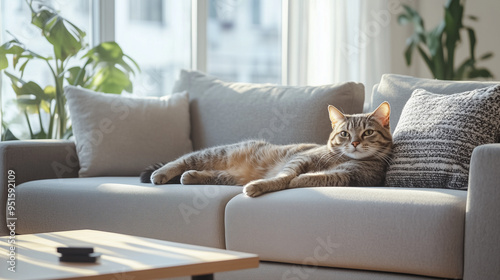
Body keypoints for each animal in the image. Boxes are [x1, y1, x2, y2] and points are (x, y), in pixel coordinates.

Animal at [139, 102, 392, 197]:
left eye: (367, 133)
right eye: (344, 134)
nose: (355, 143)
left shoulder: (349, 176)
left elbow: (312, 178)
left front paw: (299, 181)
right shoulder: (300, 159)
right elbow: (285, 176)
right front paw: (268, 184)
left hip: (227, 177)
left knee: (203, 174)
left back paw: (190, 177)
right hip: (218, 153)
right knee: (183, 159)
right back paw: (162, 173)